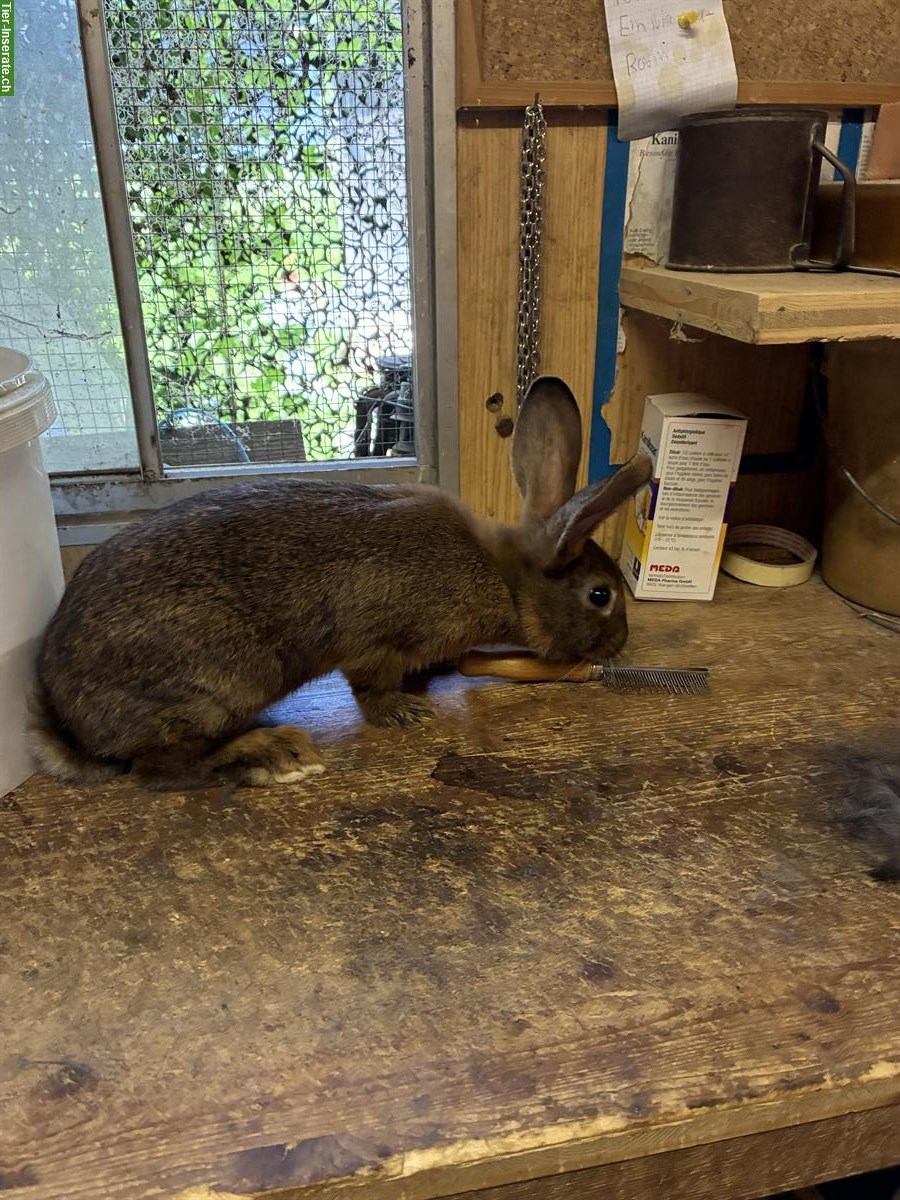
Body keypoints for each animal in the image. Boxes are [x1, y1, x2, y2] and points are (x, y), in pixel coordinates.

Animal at [29, 376, 652, 788]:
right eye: (600, 595)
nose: (621, 645)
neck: (506, 581)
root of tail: (72, 728)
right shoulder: (377, 643)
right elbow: (369, 686)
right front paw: (405, 714)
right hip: (223, 683)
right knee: (160, 768)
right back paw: (273, 754)